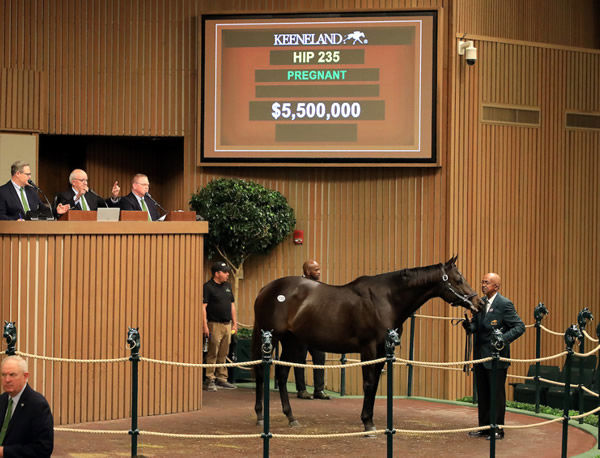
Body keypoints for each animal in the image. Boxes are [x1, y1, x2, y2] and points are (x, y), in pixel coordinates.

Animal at [252, 256, 482, 432]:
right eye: (459, 279)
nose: (478, 303)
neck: (386, 299)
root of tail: (266, 288)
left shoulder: (382, 350)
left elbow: (375, 384)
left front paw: (369, 419)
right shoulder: (369, 348)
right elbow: (369, 383)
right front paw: (368, 423)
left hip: (291, 342)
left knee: (281, 376)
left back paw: (291, 417)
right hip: (271, 339)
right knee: (262, 374)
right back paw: (261, 416)